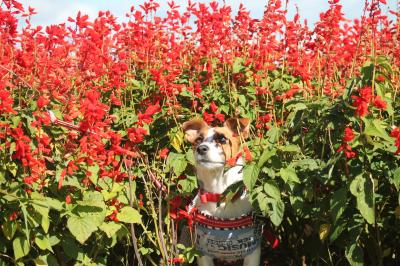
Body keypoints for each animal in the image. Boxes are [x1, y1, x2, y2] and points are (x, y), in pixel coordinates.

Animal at [182, 118, 262, 266]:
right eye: (198, 140)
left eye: (222, 139)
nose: (201, 148)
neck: (221, 197)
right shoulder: (203, 253)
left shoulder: (252, 252)